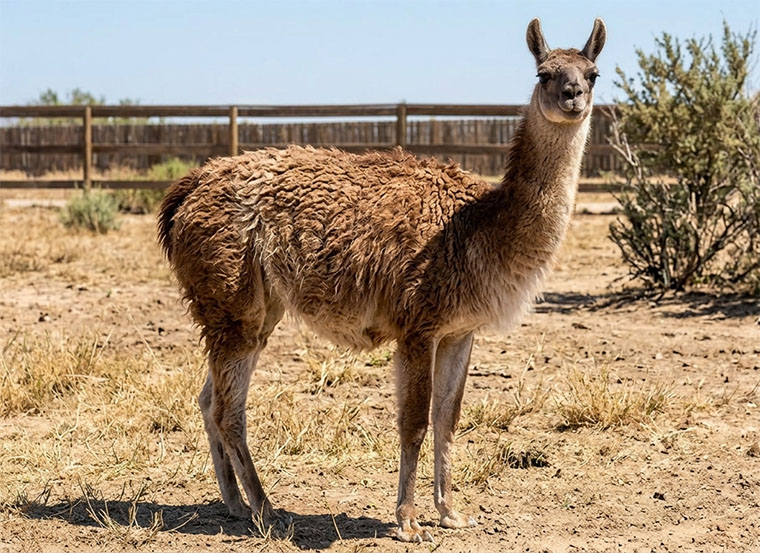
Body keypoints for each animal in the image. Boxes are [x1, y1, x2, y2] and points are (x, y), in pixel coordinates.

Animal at [157, 17, 606, 543]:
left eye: (592, 73)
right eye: (543, 73)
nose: (573, 95)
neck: (477, 225)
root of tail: (190, 185)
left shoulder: (460, 330)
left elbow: (447, 417)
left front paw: (451, 513)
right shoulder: (418, 323)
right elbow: (413, 422)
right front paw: (408, 522)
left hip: (253, 307)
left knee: (209, 400)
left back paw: (233, 504)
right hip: (231, 298)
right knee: (230, 409)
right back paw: (266, 510)